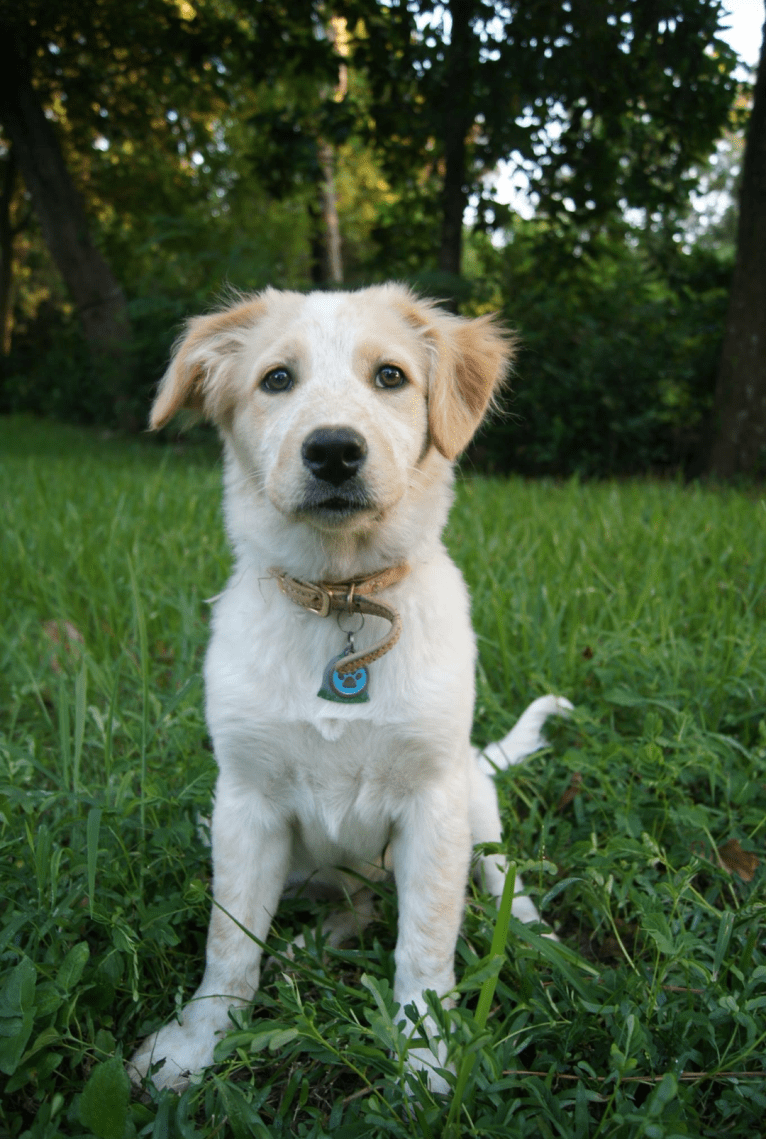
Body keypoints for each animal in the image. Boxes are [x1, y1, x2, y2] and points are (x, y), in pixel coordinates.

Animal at [126, 284, 566, 1093]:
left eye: (391, 376)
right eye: (276, 379)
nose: (333, 450)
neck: (341, 596)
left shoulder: (432, 803)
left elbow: (424, 945)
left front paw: (424, 1059)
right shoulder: (244, 804)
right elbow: (229, 942)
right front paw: (194, 1045)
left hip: (472, 795)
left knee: (495, 871)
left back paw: (530, 931)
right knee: (351, 908)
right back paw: (307, 953)